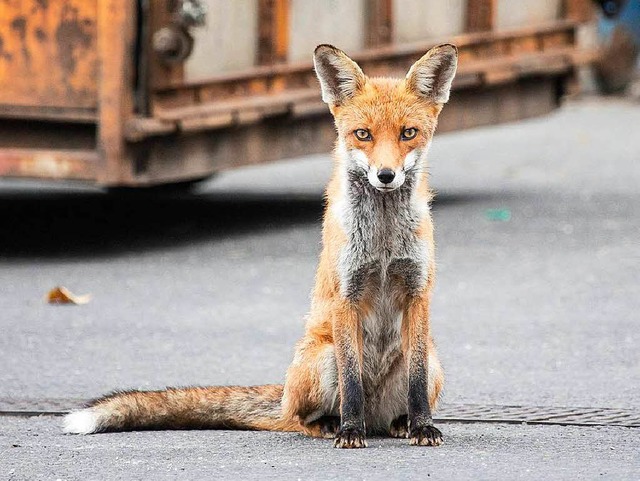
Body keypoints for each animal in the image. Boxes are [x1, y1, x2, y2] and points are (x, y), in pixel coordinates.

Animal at [63, 43, 456, 448]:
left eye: (408, 133)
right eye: (363, 134)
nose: (386, 175)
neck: (383, 243)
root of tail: (374, 415)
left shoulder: (417, 291)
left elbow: (415, 379)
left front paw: (422, 426)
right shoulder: (346, 294)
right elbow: (350, 380)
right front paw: (349, 432)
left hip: (433, 364)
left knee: (400, 397)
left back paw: (401, 422)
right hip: (321, 358)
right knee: (303, 416)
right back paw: (334, 423)